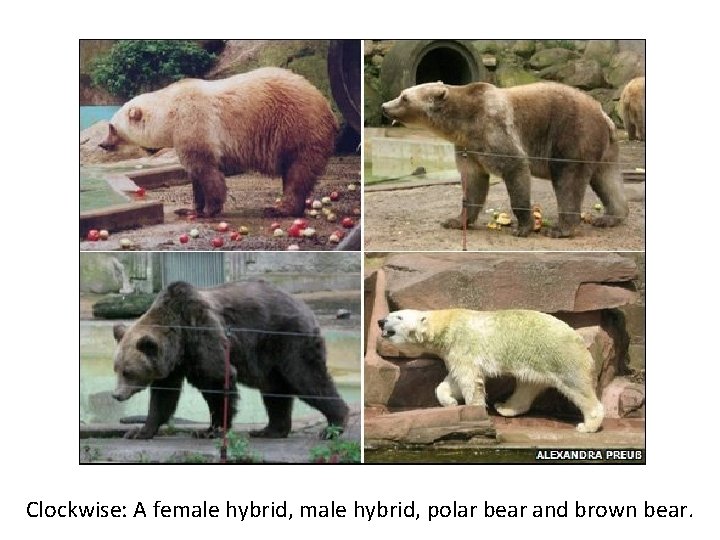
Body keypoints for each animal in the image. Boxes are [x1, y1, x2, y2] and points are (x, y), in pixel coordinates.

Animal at [99, 67, 337, 218]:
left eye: (111, 127)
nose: (102, 144)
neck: (169, 113)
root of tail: (326, 105)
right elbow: (195, 175)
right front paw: (191, 208)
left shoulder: (195, 122)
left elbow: (206, 170)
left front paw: (208, 210)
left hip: (297, 127)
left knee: (298, 171)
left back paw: (279, 209)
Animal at [111, 280, 349, 439]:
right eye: (117, 369)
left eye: (128, 371)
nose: (116, 395)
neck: (179, 339)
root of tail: (305, 306)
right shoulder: (174, 364)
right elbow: (163, 397)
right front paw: (139, 431)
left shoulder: (204, 335)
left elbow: (218, 380)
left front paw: (212, 430)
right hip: (270, 358)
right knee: (275, 391)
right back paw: (269, 430)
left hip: (288, 339)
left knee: (307, 377)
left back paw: (334, 425)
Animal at [378, 309, 604, 433]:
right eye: (391, 315)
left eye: (398, 316)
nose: (380, 321)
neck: (446, 324)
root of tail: (579, 339)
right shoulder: (452, 351)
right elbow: (451, 380)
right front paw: (450, 402)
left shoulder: (462, 344)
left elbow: (469, 380)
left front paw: (473, 410)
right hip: (536, 362)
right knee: (527, 386)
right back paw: (505, 407)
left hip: (558, 355)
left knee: (576, 386)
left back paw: (587, 425)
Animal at [381, 81, 629, 238]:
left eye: (404, 97)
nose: (385, 106)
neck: (464, 123)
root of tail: (604, 114)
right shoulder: (468, 149)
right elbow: (473, 183)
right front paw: (455, 220)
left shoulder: (495, 132)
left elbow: (515, 168)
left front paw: (523, 227)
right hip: (605, 148)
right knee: (607, 180)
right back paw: (610, 217)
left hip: (572, 134)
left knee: (568, 179)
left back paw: (561, 228)